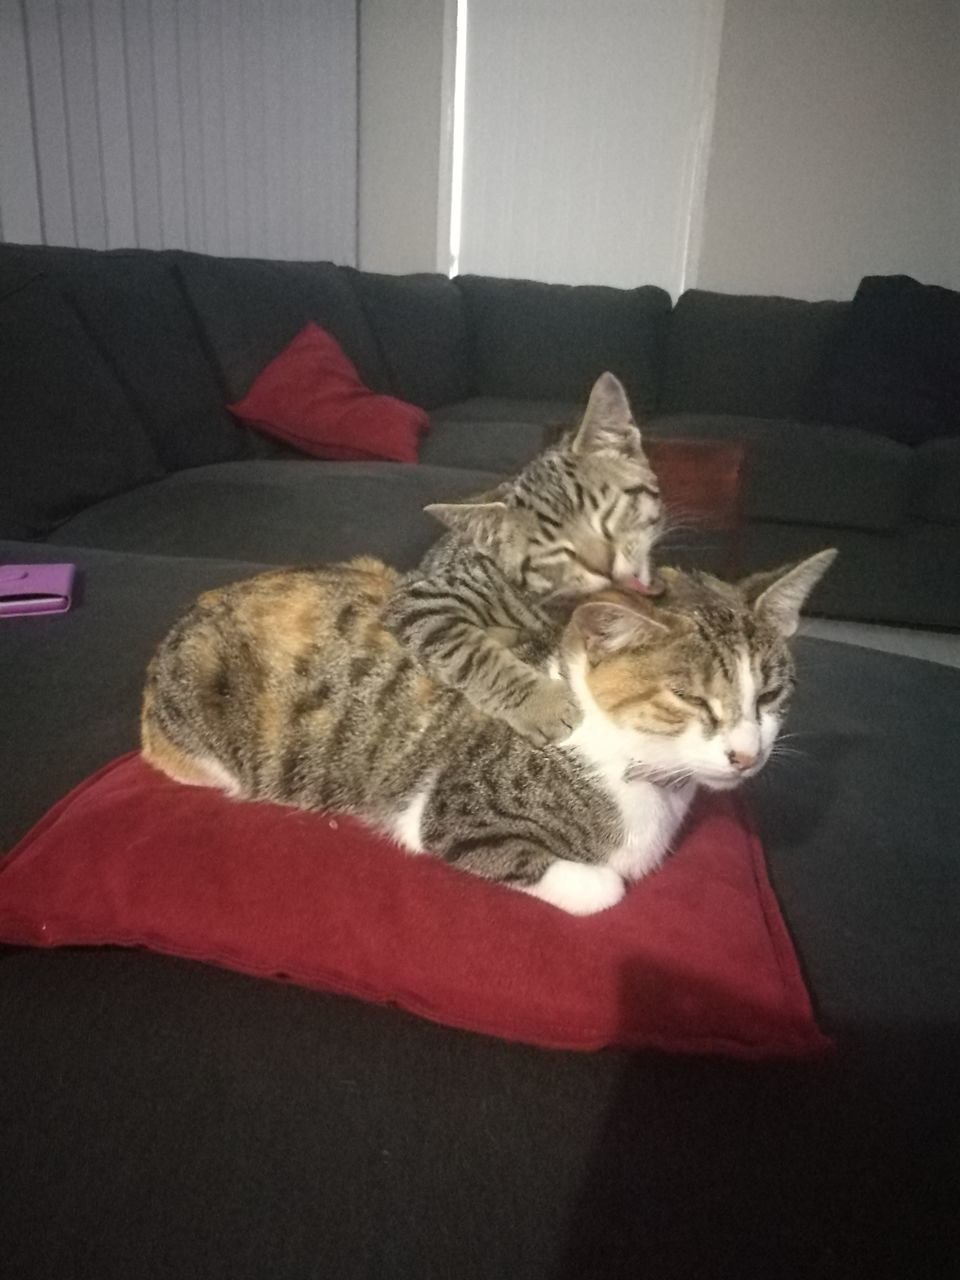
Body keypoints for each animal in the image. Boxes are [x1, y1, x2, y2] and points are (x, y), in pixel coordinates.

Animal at [140, 547, 834, 911]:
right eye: (691, 698)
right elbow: (604, 885)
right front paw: (601, 878)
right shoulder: (449, 812)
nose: (746, 755)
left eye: (769, 695)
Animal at [378, 371, 665, 747]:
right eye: (552, 549)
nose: (603, 564)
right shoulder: (418, 597)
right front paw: (545, 705)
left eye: (607, 512)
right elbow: (470, 653)